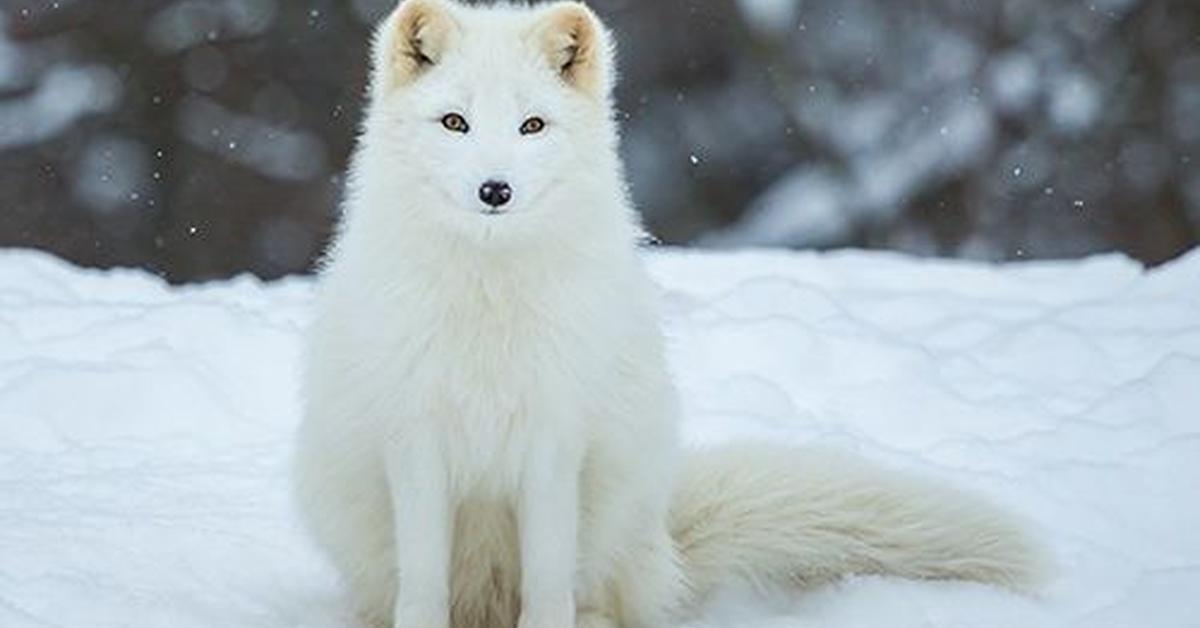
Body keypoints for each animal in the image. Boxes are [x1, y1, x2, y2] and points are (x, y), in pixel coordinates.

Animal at [295, 1, 1046, 628]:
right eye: (455, 122)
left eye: (532, 125)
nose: (495, 189)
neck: (489, 305)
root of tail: (664, 537)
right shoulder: (415, 441)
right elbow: (423, 588)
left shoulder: (555, 442)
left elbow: (547, 587)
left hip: (612, 509)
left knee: (596, 599)